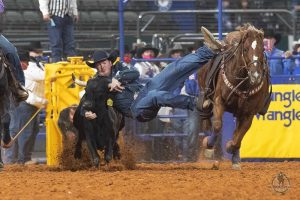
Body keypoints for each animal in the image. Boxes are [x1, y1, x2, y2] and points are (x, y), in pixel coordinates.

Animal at [198, 24, 270, 170]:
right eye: (246, 49)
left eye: (262, 49)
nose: (255, 75)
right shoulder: (219, 101)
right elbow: (218, 125)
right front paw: (209, 145)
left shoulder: (248, 113)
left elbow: (239, 136)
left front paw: (231, 148)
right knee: (206, 118)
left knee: (237, 130)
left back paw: (235, 158)